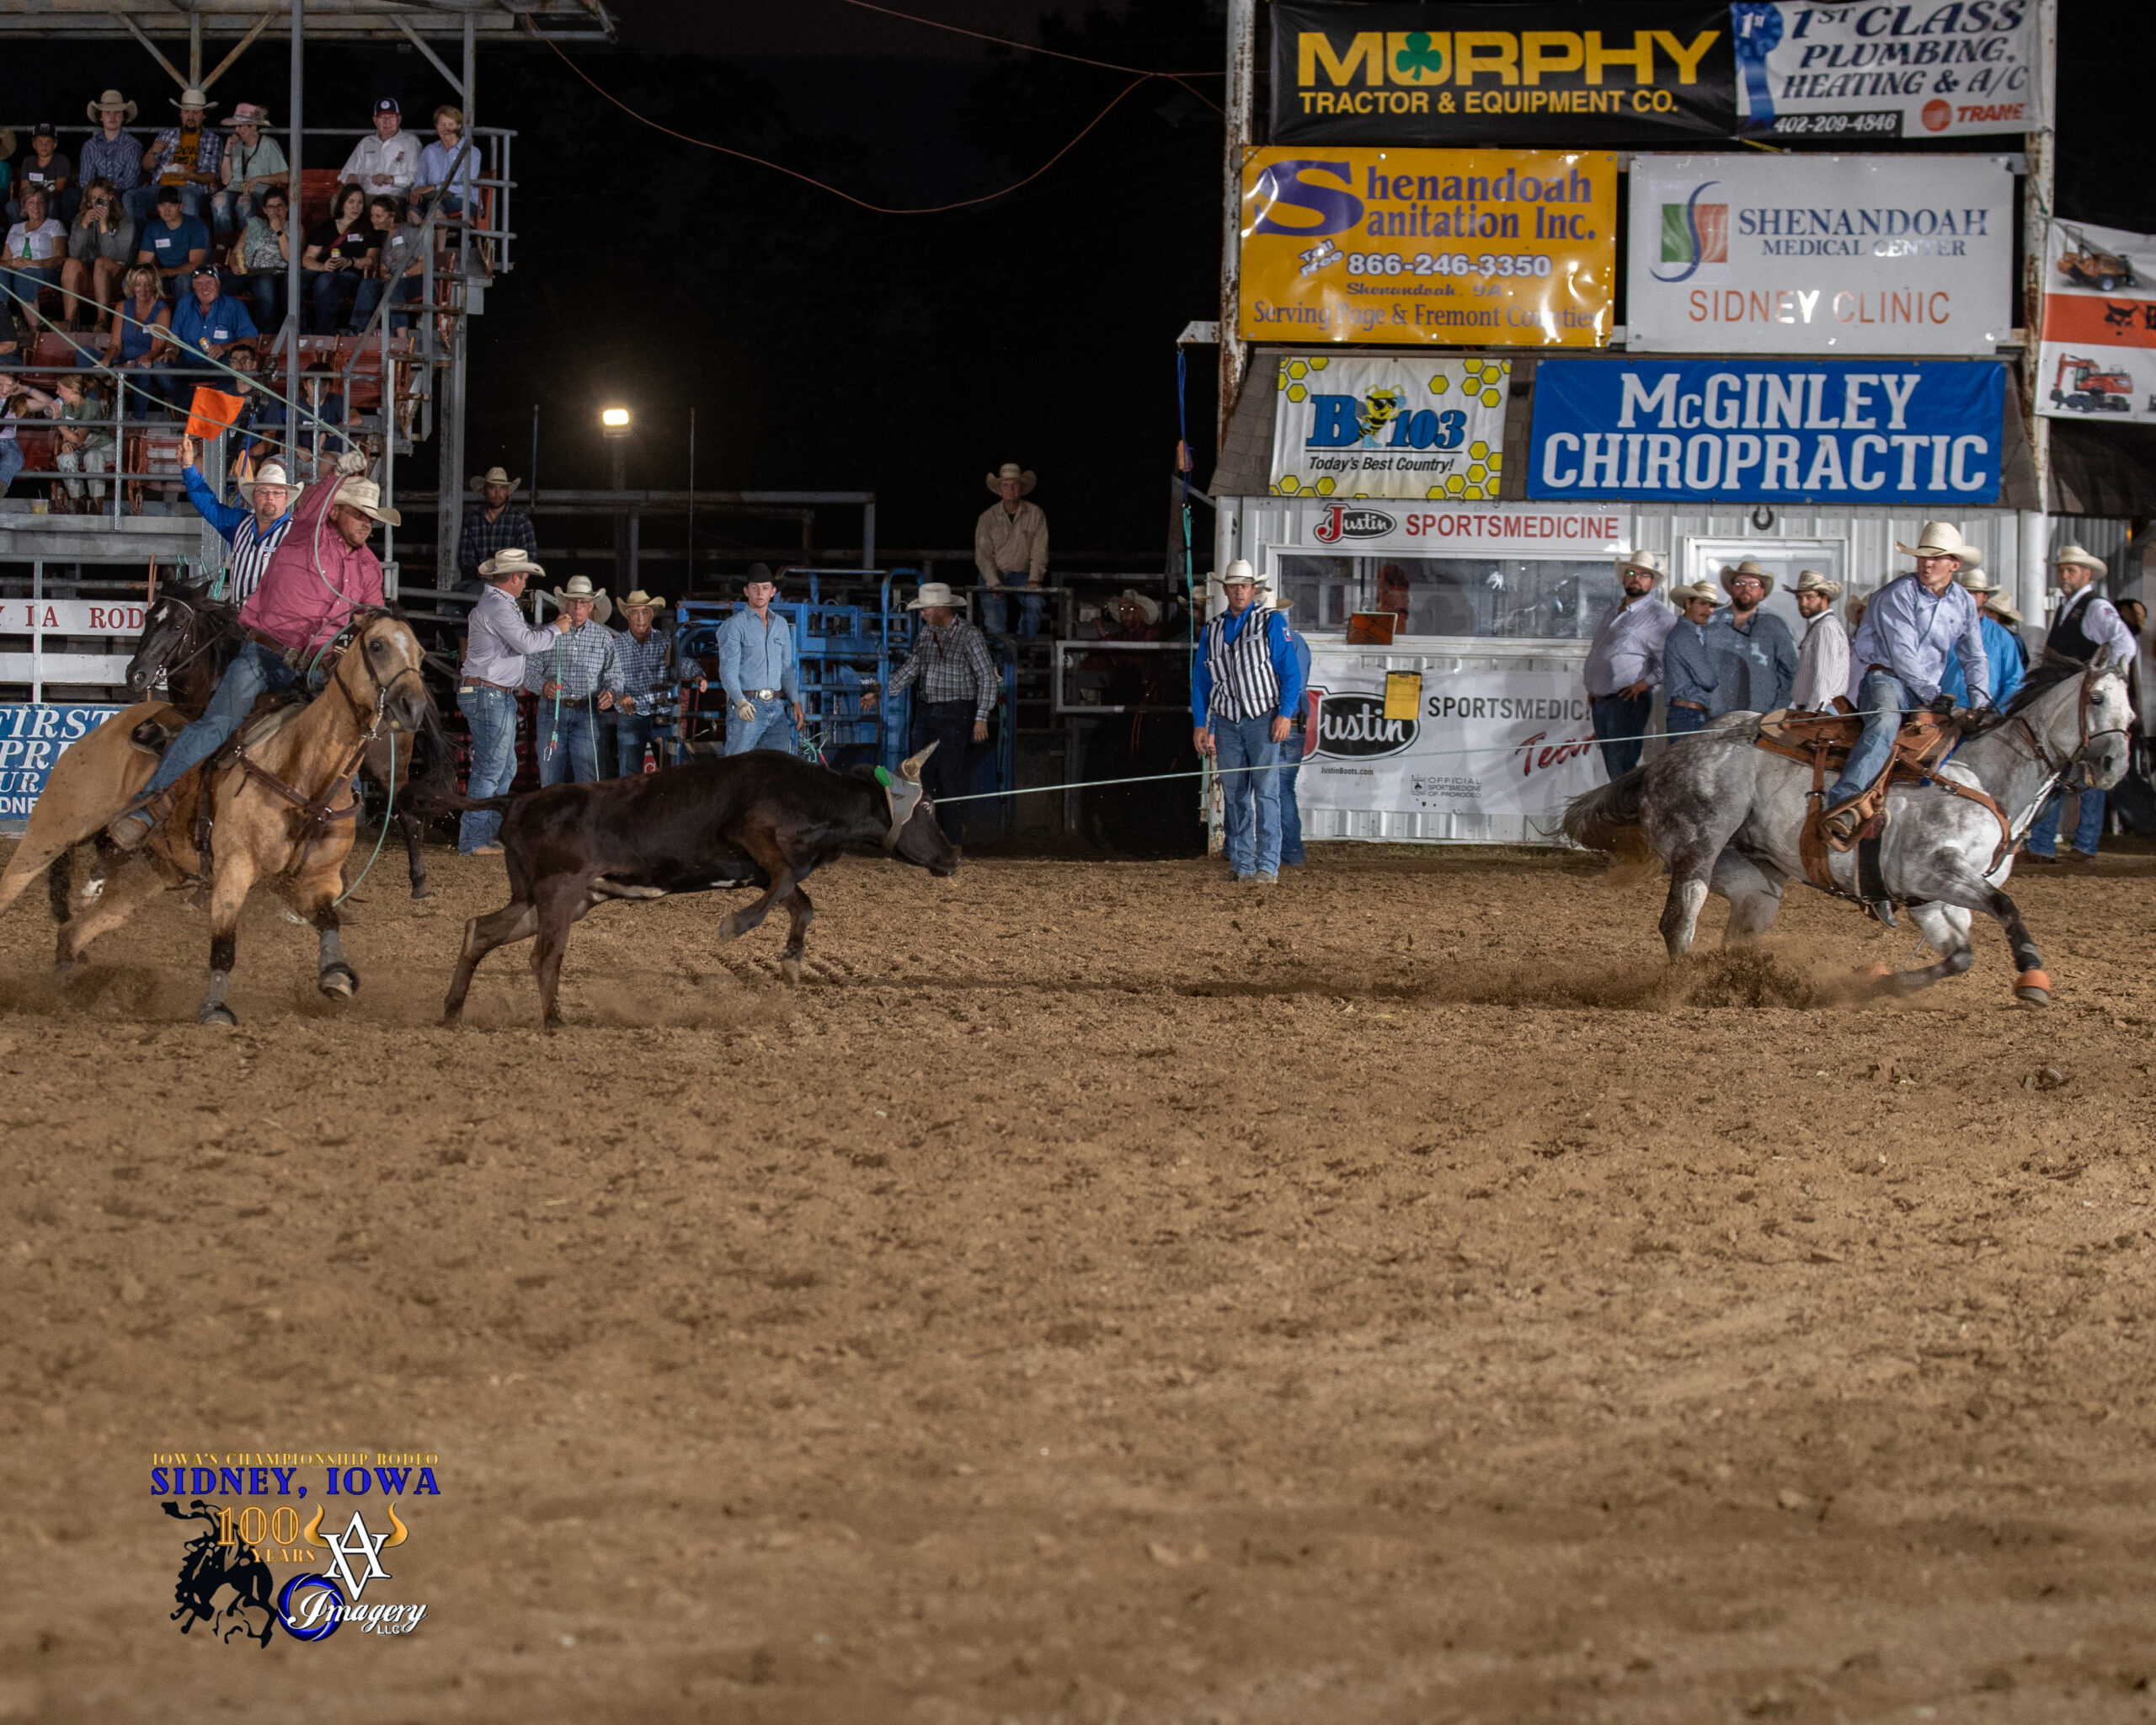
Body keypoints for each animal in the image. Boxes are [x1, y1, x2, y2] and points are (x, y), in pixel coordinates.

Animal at [39, 607, 433, 1026]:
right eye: (377, 645)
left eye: (422, 654)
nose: (413, 706)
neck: (307, 773)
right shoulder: (235, 867)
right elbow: (225, 944)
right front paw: (215, 1008)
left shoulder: (318, 879)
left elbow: (329, 921)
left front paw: (336, 973)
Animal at [1561, 647, 2130, 1004]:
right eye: (2098, 699)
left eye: (2132, 709)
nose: (2114, 764)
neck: (1983, 779)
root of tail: (1666, 759)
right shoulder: (1938, 872)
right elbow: (2008, 909)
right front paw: (2033, 979)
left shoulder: (1930, 901)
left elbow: (1960, 957)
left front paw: (1882, 983)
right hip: (1698, 849)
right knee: (1679, 922)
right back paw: (1682, 990)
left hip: (1755, 883)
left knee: (1736, 932)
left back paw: (1741, 986)